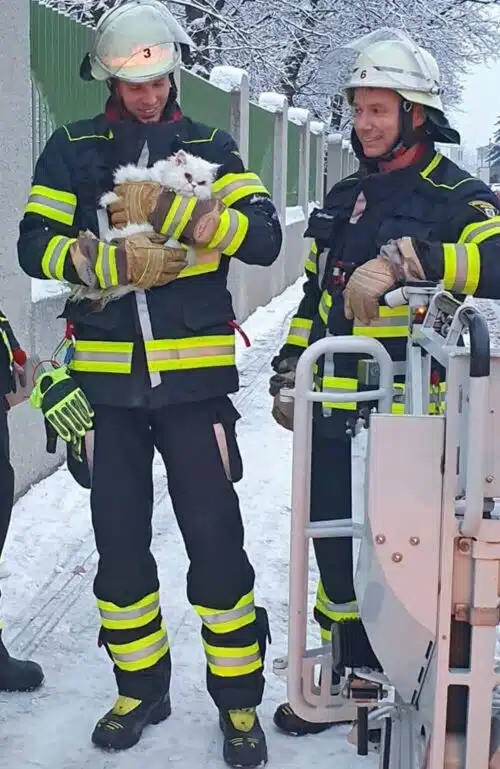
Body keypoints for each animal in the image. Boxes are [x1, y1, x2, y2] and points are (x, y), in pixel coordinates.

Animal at [68, 148, 219, 304]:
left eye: (202, 183)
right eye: (187, 175)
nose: (194, 186)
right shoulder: (153, 177)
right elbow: (140, 175)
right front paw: (115, 188)